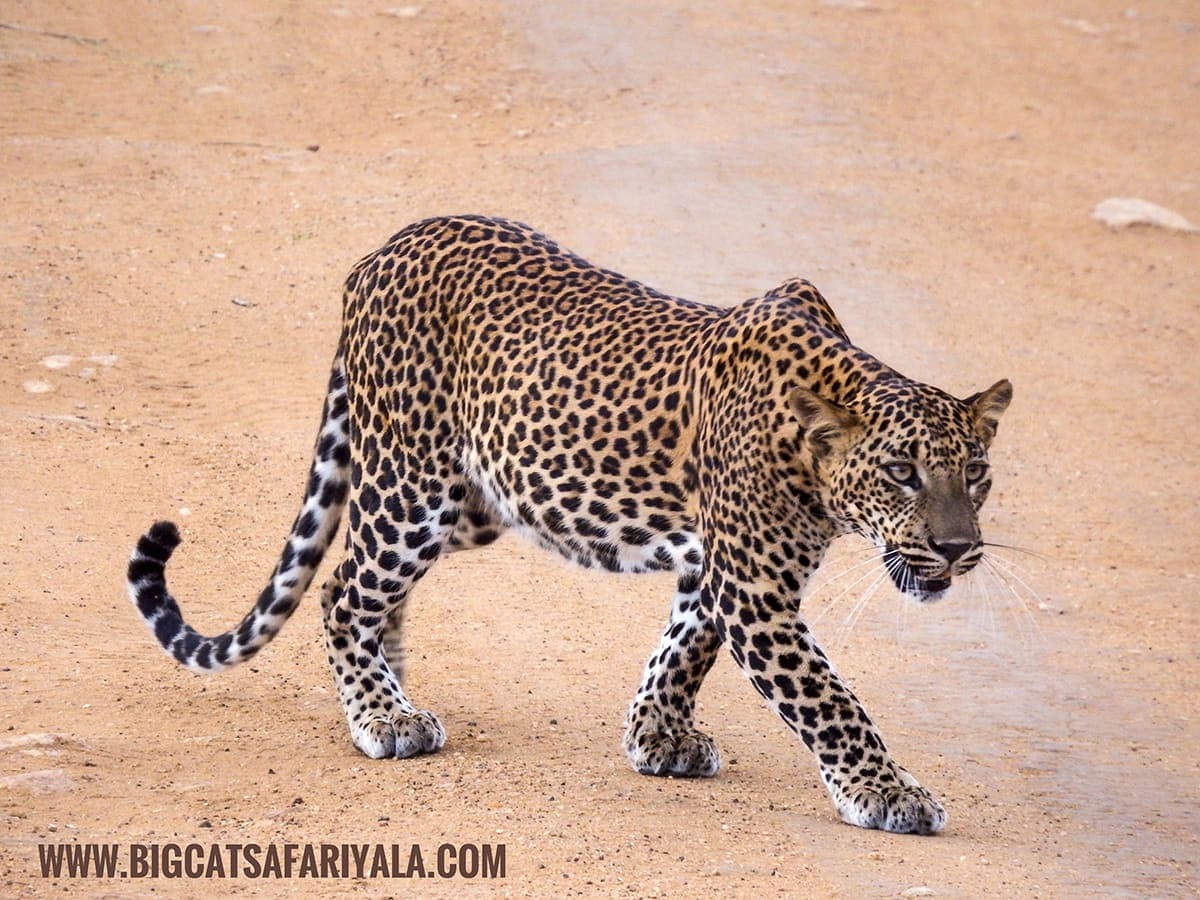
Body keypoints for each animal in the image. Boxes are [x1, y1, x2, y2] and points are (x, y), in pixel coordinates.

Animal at [127, 214, 1012, 835]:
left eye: (974, 473)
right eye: (901, 473)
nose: (957, 548)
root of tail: (380, 252)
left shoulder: (716, 564)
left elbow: (685, 647)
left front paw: (658, 736)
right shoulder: (755, 588)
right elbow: (831, 702)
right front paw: (889, 794)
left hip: (478, 498)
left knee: (365, 584)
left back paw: (391, 682)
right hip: (412, 484)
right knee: (344, 586)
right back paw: (382, 715)